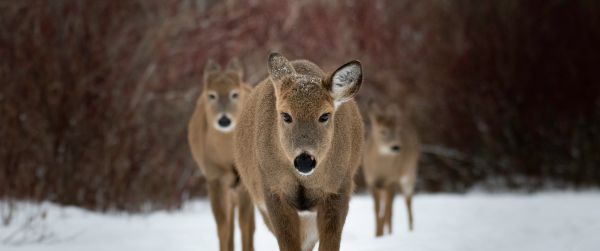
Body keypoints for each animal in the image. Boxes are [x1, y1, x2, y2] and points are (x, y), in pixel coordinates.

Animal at [186, 58, 254, 251]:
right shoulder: (214, 177)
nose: (224, 119)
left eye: (234, 94)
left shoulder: (245, 182)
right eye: (212, 95)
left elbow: (245, 226)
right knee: (230, 223)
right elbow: (222, 226)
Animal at [360, 101, 422, 236]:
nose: (396, 147)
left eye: (396, 131)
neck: (381, 171)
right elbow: (377, 211)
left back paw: (409, 230)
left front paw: (384, 234)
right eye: (382, 131)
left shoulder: (392, 181)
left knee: (407, 202)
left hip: (409, 174)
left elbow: (388, 212)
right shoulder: (371, 183)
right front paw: (377, 234)